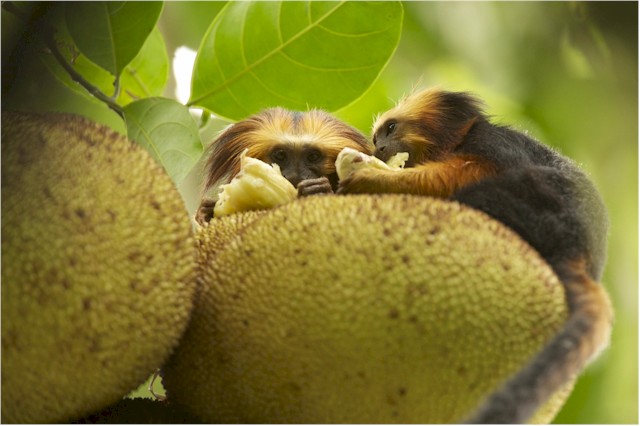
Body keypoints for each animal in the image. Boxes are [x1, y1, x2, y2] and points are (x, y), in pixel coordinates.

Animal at [338, 88, 612, 424]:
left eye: (390, 129)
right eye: (376, 138)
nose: (378, 148)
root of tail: (580, 248)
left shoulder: (491, 144)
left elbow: (456, 176)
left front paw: (371, 179)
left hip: (546, 205)